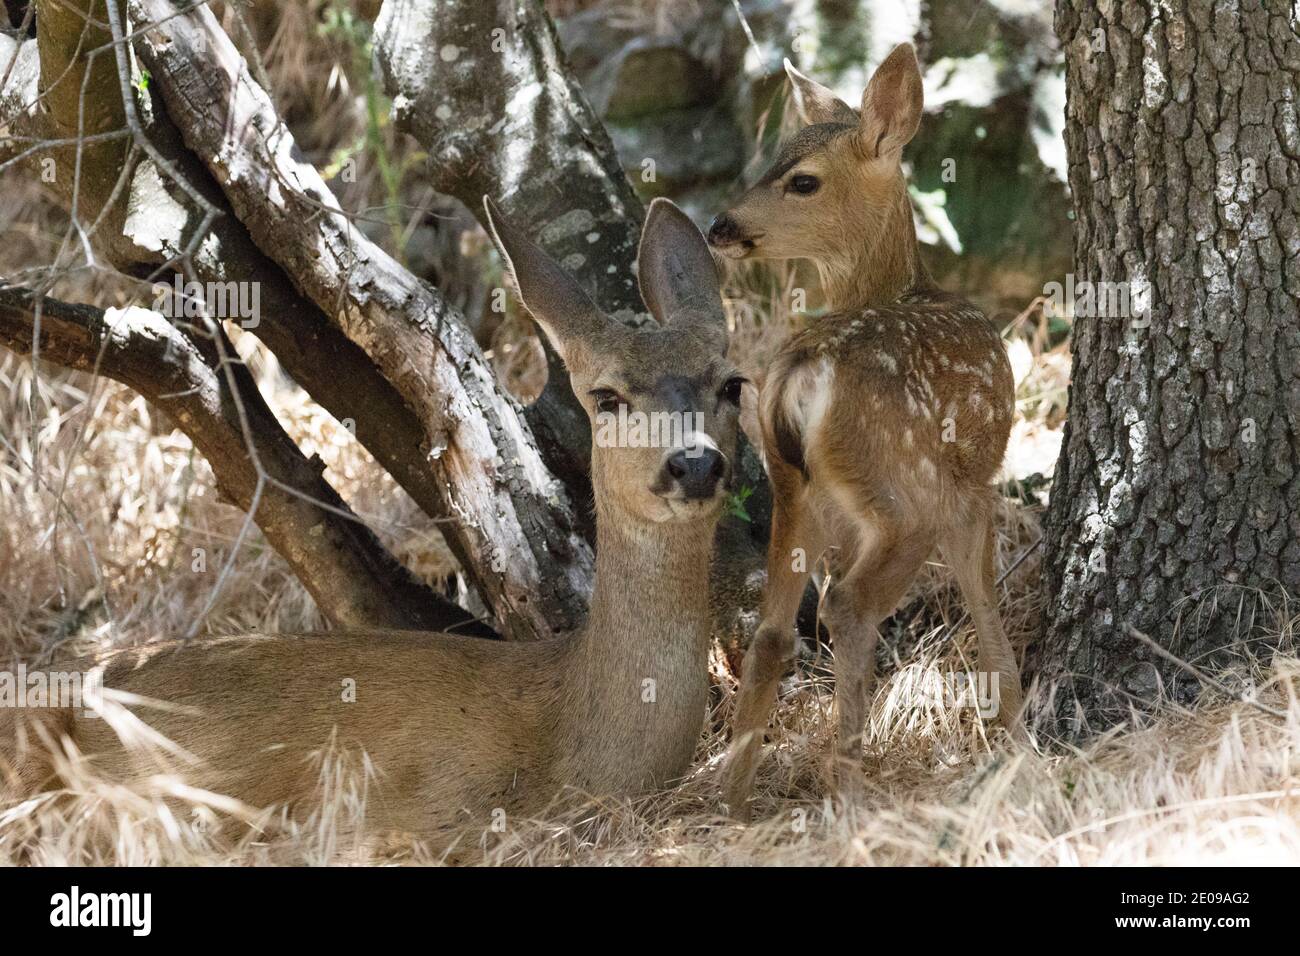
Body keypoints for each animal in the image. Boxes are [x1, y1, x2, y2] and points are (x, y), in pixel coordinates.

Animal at [712, 46, 1024, 816]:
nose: (719, 226)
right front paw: (1019, 737)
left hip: (798, 489)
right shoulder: (972, 490)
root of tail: (804, 372)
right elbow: (983, 599)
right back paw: (850, 791)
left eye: (801, 178)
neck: (904, 286)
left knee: (773, 630)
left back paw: (732, 800)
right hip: (904, 490)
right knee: (848, 607)